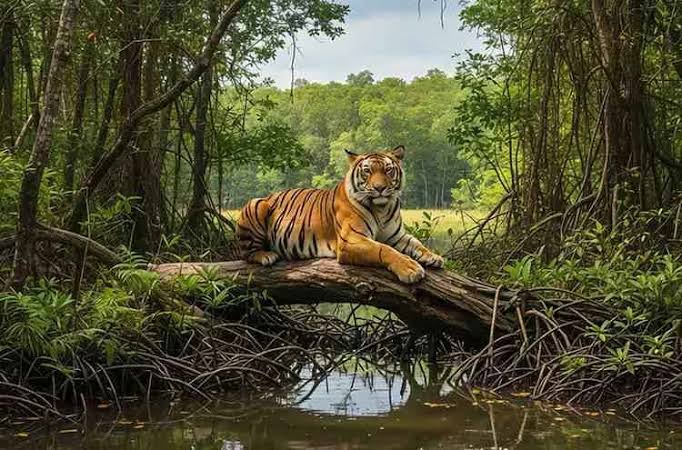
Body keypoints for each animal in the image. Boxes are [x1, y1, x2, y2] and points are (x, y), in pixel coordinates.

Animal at [236, 145, 444, 283]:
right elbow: (383, 249)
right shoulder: (351, 239)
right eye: (367, 171)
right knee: (246, 252)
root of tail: (269, 195)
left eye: (388, 170)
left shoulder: (396, 236)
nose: (379, 188)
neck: (382, 208)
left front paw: (433, 256)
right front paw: (410, 269)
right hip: (256, 204)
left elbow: (416, 243)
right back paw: (266, 256)